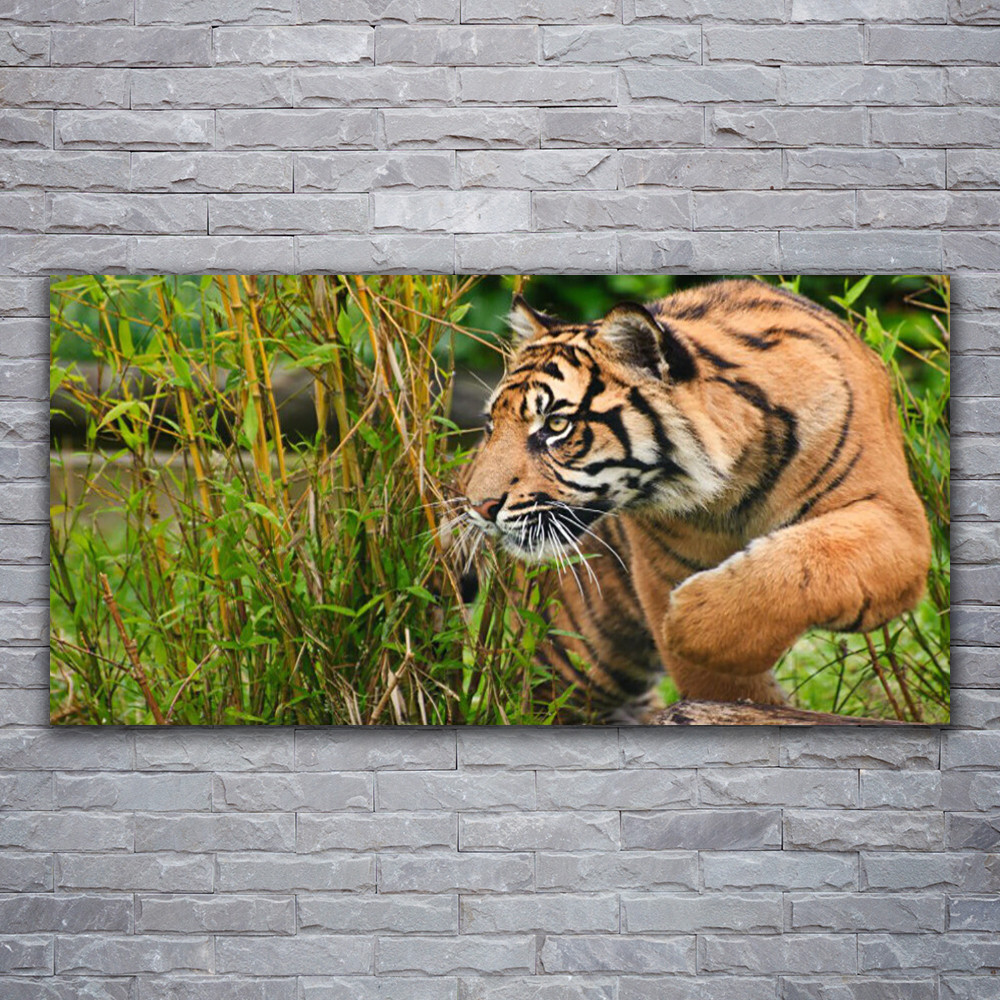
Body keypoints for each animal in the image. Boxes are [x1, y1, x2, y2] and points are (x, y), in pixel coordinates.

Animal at [458, 278, 932, 722]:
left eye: (556, 425)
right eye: (491, 425)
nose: (478, 507)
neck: (733, 484)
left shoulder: (895, 520)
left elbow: (805, 562)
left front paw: (687, 622)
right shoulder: (662, 570)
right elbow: (721, 686)